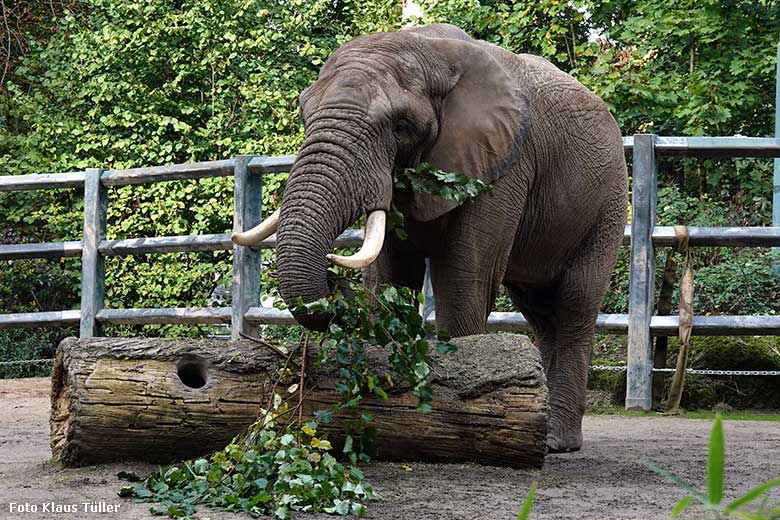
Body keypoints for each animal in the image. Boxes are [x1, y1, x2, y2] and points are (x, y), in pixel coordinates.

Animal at [232, 22, 628, 450]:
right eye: (304, 113)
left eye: (400, 127)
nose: (335, 277)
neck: (428, 48)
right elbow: (389, 279)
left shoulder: (505, 165)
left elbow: (463, 280)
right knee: (539, 309)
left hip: (608, 203)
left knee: (574, 303)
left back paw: (556, 441)